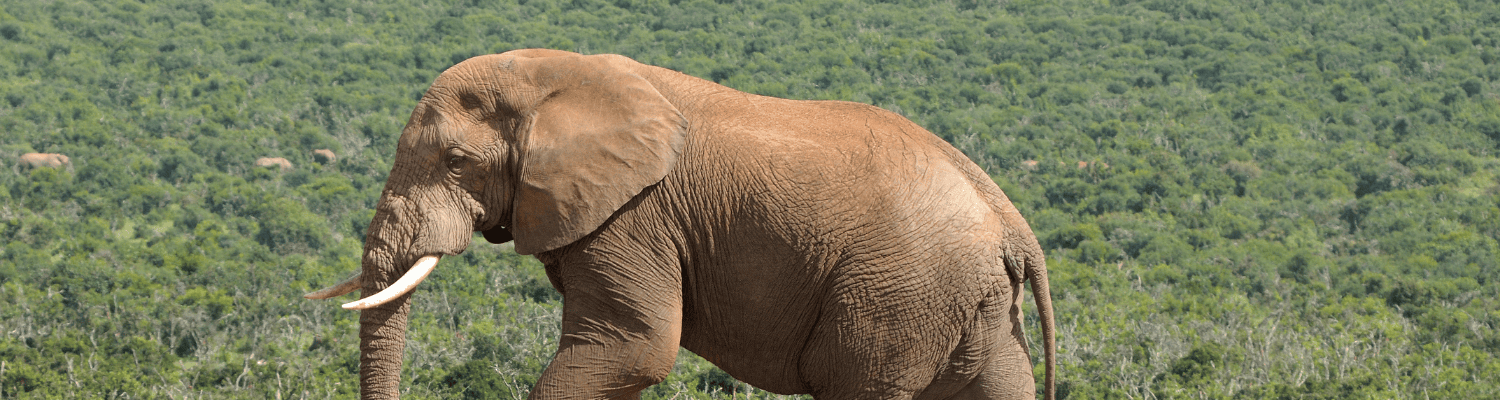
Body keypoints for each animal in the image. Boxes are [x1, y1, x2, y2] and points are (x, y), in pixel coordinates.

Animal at [305, 49, 1056, 400]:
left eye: (456, 162)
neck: (554, 74)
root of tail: (1012, 225)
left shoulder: (633, 218)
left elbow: (633, 347)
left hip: (897, 292)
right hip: (966, 302)